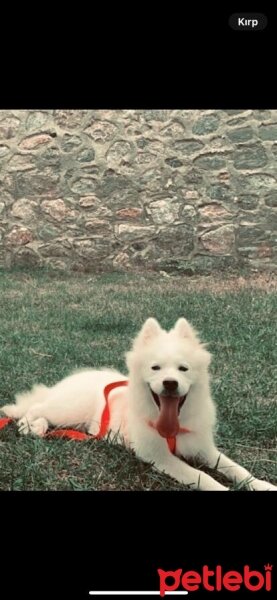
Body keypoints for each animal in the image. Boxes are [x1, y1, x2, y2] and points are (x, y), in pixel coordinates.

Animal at [1, 316, 274, 490]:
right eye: (155, 368)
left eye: (183, 369)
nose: (170, 383)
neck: (174, 427)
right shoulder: (159, 457)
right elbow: (202, 477)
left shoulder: (204, 449)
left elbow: (237, 469)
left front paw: (263, 484)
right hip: (68, 410)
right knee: (35, 408)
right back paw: (30, 426)